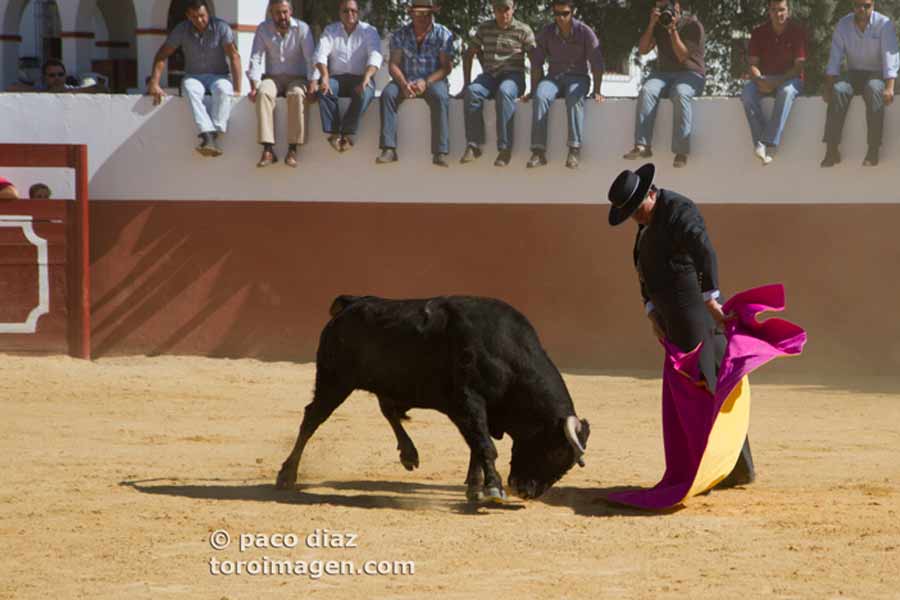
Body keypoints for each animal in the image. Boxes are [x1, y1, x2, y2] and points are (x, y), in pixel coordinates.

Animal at [276, 296, 592, 502]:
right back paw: (287, 475)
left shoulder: (475, 410)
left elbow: (476, 445)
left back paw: (409, 454)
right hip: (334, 381)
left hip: (386, 382)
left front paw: (475, 487)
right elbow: (484, 446)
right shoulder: (469, 402)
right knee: (311, 419)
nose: (528, 492)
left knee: (387, 408)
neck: (505, 354)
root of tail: (351, 303)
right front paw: (492, 488)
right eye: (556, 452)